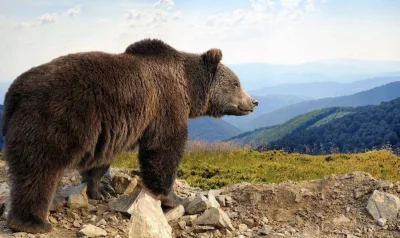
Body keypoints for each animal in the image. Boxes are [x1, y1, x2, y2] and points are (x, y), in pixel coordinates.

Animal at [1, 38, 258, 233]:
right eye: (236, 83)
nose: (253, 102)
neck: (188, 88)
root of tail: (15, 92)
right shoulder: (165, 105)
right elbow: (164, 148)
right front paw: (173, 198)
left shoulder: (111, 129)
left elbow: (102, 159)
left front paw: (100, 189)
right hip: (55, 118)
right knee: (39, 170)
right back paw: (32, 222)